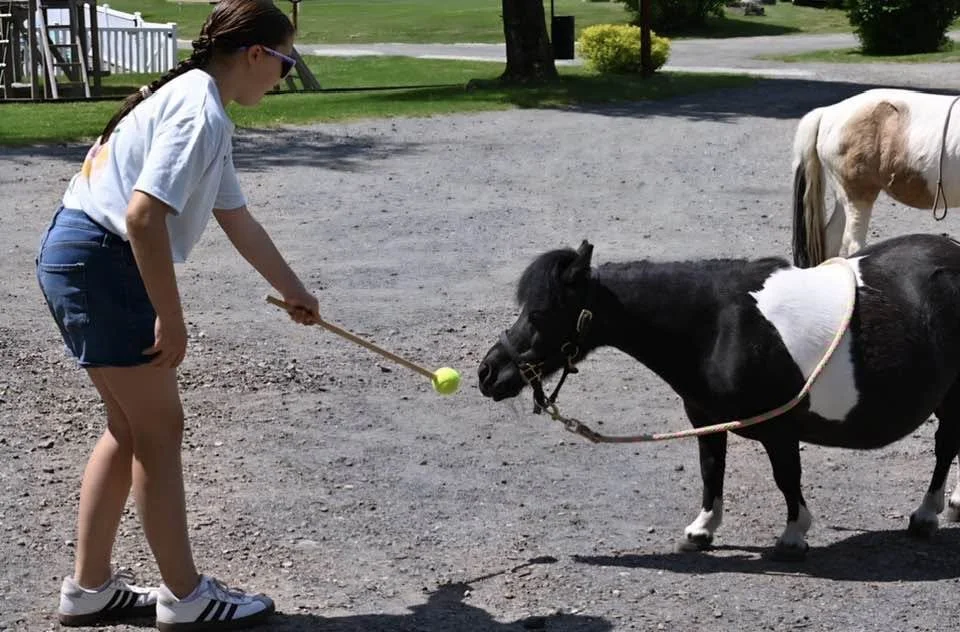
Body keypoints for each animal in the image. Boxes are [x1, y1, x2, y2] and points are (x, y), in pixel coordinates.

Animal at [478, 234, 960, 560]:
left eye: (540, 313)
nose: (488, 374)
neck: (717, 326)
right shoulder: (706, 419)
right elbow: (711, 470)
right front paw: (702, 530)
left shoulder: (778, 428)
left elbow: (787, 478)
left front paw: (793, 535)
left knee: (944, 449)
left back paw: (927, 514)